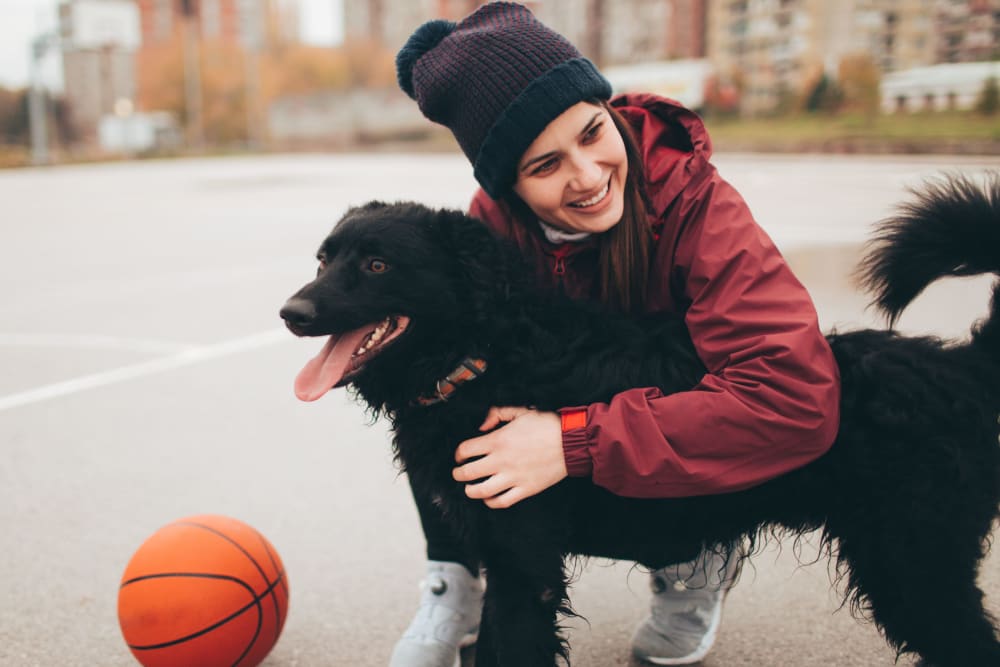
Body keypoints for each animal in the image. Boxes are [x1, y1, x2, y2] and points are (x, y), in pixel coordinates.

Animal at [280, 176, 1000, 667]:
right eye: (322, 259)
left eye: (376, 263)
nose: (290, 312)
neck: (488, 355)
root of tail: (964, 364)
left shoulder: (525, 571)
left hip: (917, 567)